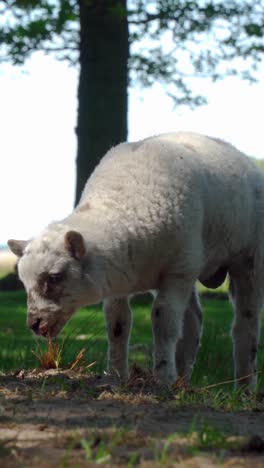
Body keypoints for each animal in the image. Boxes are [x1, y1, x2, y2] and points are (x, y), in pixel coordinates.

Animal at [7, 131, 264, 388]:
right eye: (23, 282)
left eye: (55, 277)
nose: (34, 324)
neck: (125, 207)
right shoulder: (118, 277)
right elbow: (117, 324)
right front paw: (116, 375)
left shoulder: (178, 270)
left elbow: (163, 321)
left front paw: (163, 377)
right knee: (193, 321)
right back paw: (182, 380)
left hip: (247, 260)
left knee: (245, 325)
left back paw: (244, 386)